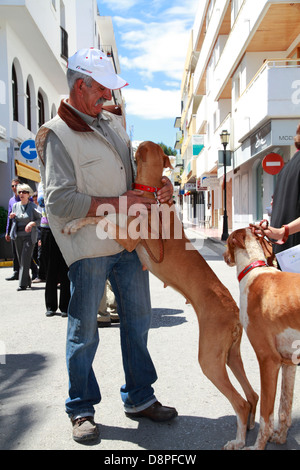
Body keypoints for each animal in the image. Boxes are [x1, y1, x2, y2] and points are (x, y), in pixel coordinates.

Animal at [224, 228, 300, 452]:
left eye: (227, 241)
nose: (223, 255)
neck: (253, 271)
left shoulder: (268, 360)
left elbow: (266, 415)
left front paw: (257, 446)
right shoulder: (288, 362)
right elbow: (284, 408)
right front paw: (280, 438)